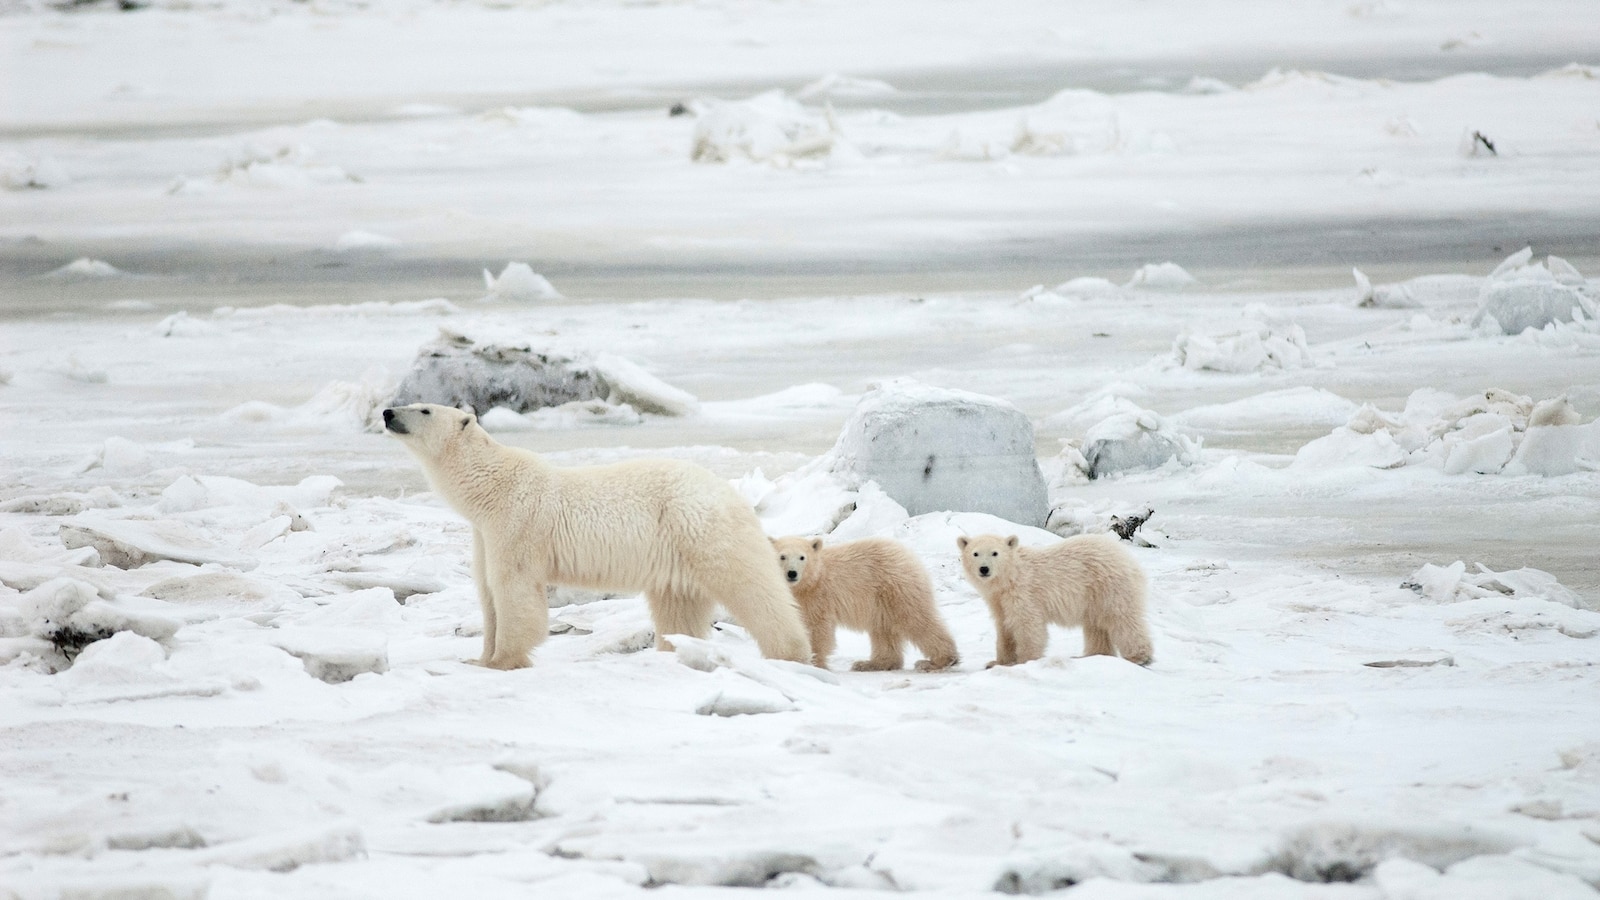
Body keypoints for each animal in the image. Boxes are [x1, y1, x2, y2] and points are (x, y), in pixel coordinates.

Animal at [384, 403, 812, 662]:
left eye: (423, 408)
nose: (388, 412)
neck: (492, 487)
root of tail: (733, 493)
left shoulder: (518, 523)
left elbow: (514, 590)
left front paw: (504, 660)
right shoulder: (484, 534)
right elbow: (488, 592)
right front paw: (479, 657)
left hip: (702, 530)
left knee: (751, 587)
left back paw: (789, 651)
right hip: (677, 555)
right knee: (678, 606)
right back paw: (673, 651)